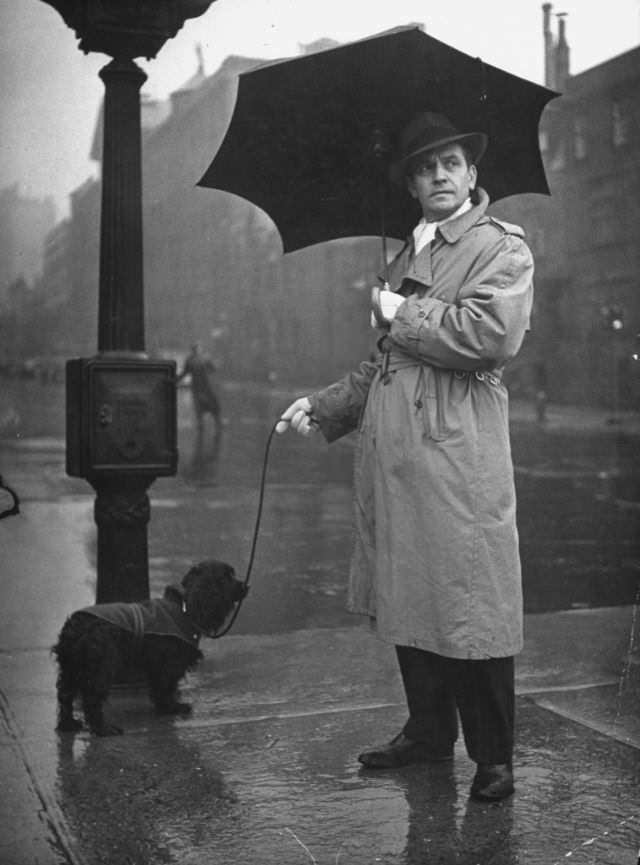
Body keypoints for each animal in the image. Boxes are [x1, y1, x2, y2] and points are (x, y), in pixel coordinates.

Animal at [53, 560, 245, 736]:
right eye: (228, 577)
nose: (246, 585)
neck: (185, 607)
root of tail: (75, 625)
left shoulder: (157, 665)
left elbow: (160, 687)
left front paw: (166, 706)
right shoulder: (170, 663)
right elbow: (166, 686)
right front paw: (171, 707)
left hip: (71, 668)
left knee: (65, 695)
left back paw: (68, 725)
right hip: (100, 667)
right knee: (92, 696)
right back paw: (103, 729)